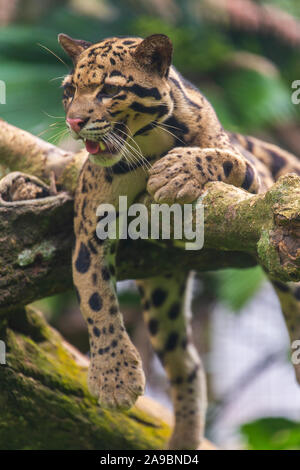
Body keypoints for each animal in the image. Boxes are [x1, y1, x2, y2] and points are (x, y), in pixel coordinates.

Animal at [58, 33, 300, 452]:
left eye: (110, 90)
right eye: (70, 91)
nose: (75, 121)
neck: (149, 142)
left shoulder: (262, 187)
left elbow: (226, 157)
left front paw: (179, 169)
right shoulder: (90, 226)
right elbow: (95, 297)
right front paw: (114, 376)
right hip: (161, 296)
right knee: (184, 363)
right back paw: (184, 438)